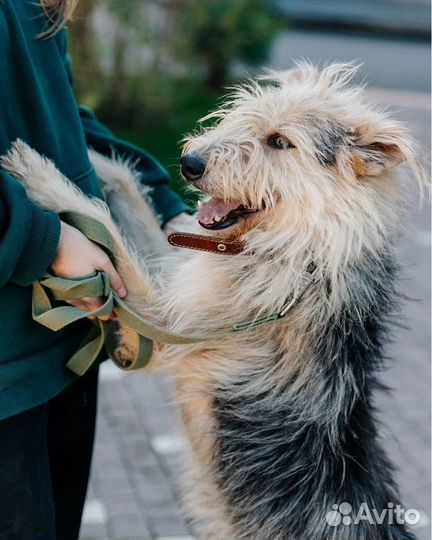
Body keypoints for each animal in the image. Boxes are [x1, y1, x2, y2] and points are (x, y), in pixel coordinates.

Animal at [0, 62, 426, 536]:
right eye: (241, 116)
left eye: (279, 142)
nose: (190, 163)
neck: (303, 249)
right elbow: (129, 190)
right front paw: (95, 148)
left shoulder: (162, 323)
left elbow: (105, 229)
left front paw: (42, 177)